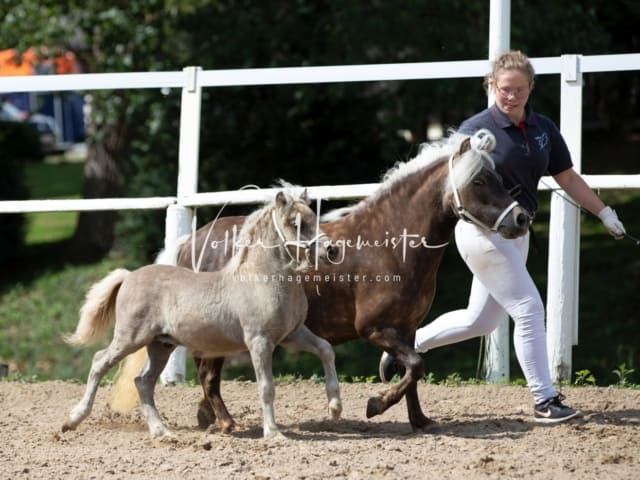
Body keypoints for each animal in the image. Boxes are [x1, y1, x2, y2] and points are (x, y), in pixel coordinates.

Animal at [111, 127, 528, 432]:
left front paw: (420, 421)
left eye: (497, 176)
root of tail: (191, 242)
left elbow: (413, 368)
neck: (390, 243)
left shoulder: (407, 328)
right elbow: (414, 366)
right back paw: (225, 423)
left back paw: (209, 418)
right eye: (478, 181)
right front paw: (376, 405)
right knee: (207, 375)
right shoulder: (375, 329)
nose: (521, 218)